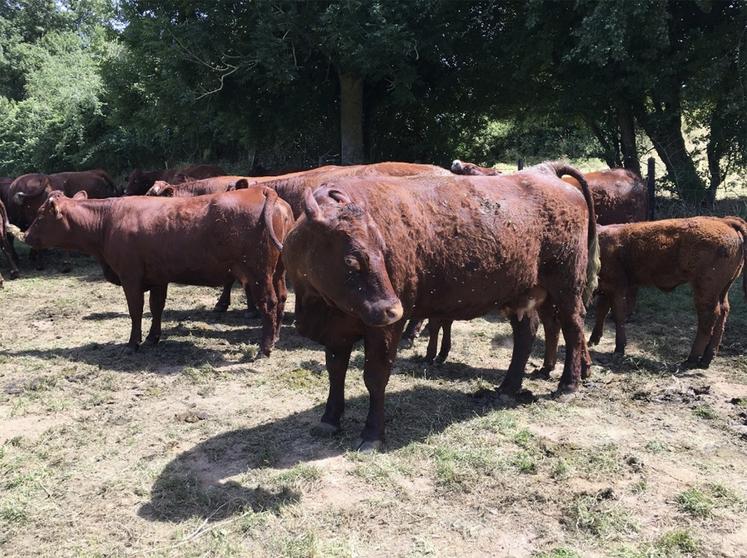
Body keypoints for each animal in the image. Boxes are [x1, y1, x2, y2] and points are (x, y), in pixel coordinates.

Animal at [23, 187, 294, 354]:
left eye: (40, 216)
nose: (25, 235)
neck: (108, 220)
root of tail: (263, 190)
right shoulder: (158, 278)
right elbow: (156, 308)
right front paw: (153, 338)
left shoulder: (130, 277)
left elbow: (136, 311)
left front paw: (133, 343)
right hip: (277, 272)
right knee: (281, 298)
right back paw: (276, 338)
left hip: (259, 274)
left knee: (269, 303)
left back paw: (265, 348)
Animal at [284, 164, 600, 452]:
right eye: (351, 260)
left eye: (382, 250)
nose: (392, 310)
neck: (320, 305)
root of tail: (546, 172)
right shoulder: (337, 331)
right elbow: (336, 371)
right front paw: (329, 420)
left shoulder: (384, 331)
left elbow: (375, 377)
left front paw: (372, 435)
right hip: (520, 293)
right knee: (526, 333)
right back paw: (508, 389)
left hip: (566, 287)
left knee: (573, 328)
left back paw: (568, 385)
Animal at [572, 220, 744, 372]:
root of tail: (727, 223)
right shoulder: (607, 289)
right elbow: (602, 311)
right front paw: (593, 339)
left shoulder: (618, 287)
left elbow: (618, 316)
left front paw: (619, 348)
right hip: (722, 291)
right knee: (723, 313)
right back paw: (706, 359)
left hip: (705, 291)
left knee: (708, 318)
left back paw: (691, 359)